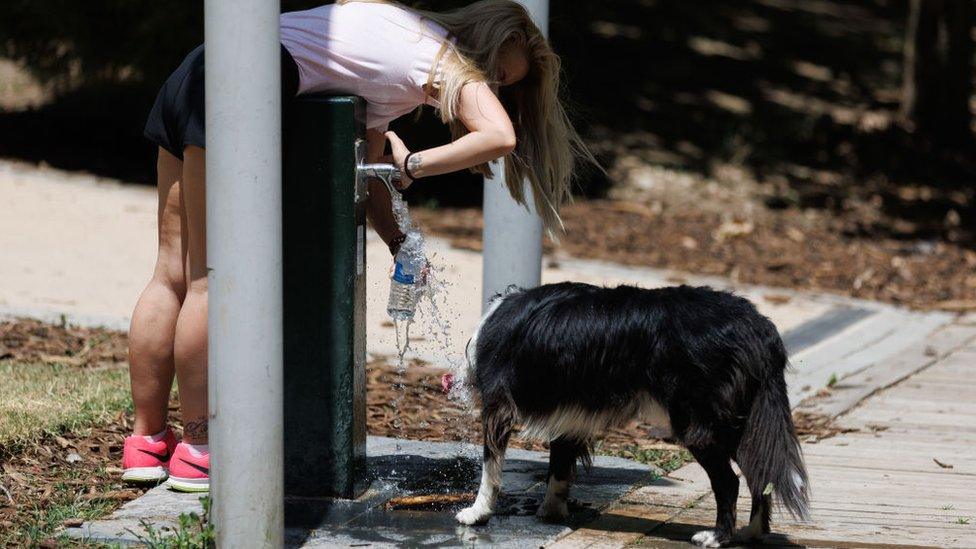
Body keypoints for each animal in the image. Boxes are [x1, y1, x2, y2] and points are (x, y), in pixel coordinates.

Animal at [454, 284, 812, 544]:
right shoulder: (569, 416)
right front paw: (551, 511)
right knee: (761, 471)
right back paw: (753, 533)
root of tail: (757, 325)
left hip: (697, 422)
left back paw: (717, 537)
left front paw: (476, 513)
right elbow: (559, 466)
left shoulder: (498, 407)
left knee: (729, 481)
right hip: (742, 422)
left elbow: (490, 469)